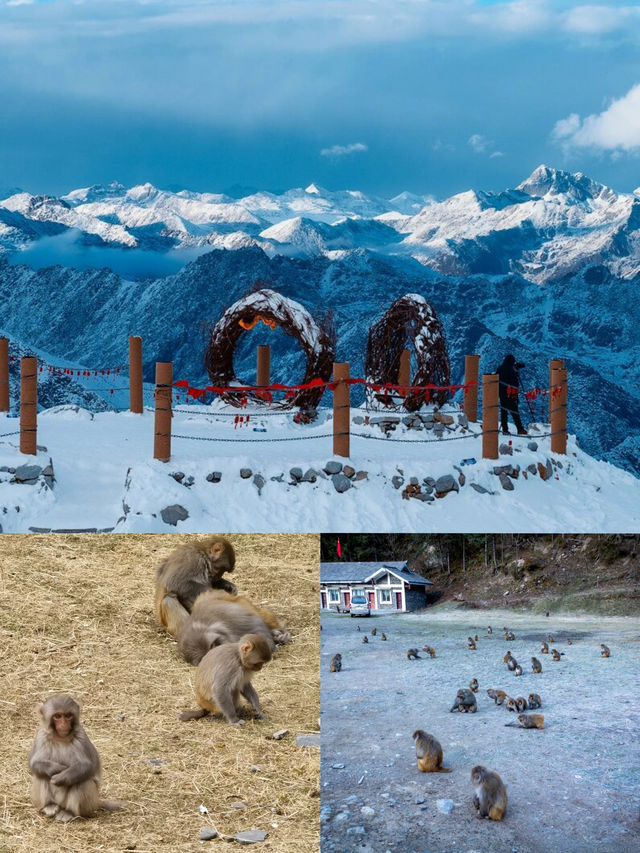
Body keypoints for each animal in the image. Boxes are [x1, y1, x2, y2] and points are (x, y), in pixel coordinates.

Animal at [28, 696, 124, 824]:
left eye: (68, 715)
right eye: (57, 716)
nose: (64, 724)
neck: (61, 737)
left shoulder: (81, 737)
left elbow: (87, 766)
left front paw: (59, 777)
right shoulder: (41, 736)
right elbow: (34, 763)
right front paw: (56, 769)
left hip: (89, 805)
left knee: (81, 780)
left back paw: (69, 812)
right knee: (41, 775)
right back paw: (50, 806)